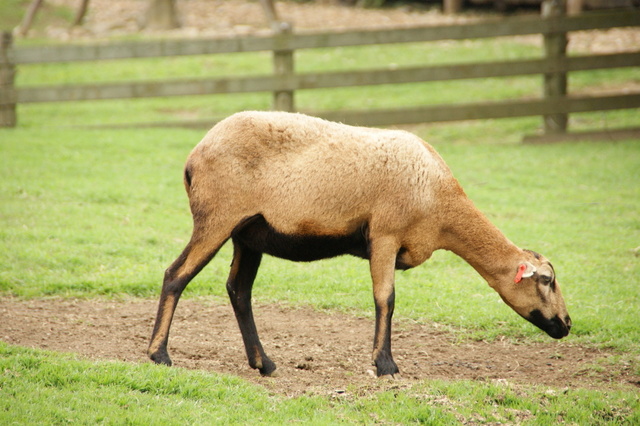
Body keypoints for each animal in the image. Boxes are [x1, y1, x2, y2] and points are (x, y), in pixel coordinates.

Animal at [148, 111, 572, 378]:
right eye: (547, 280)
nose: (567, 324)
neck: (441, 206)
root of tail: (194, 155)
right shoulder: (384, 235)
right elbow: (386, 298)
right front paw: (386, 366)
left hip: (248, 234)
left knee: (238, 290)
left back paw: (263, 363)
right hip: (216, 219)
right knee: (175, 275)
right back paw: (159, 355)